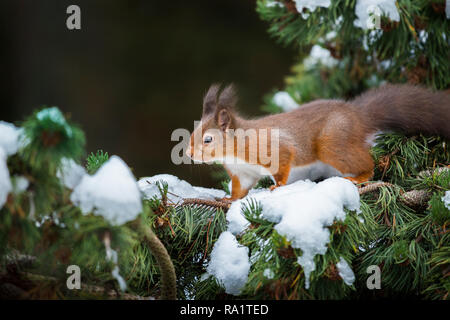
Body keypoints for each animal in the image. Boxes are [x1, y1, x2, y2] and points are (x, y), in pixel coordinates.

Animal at [185, 85, 448, 200]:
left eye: (208, 139)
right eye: (193, 132)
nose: (189, 154)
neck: (234, 151)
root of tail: (358, 116)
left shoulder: (273, 148)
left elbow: (284, 163)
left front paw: (278, 187)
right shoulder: (243, 173)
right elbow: (240, 189)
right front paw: (229, 200)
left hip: (332, 143)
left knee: (367, 163)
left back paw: (359, 178)